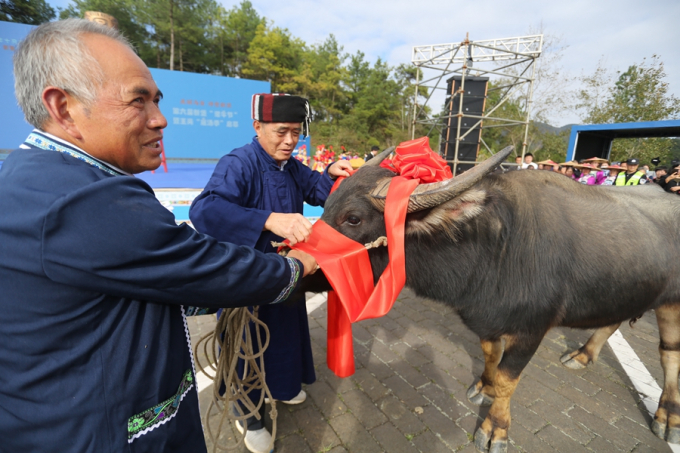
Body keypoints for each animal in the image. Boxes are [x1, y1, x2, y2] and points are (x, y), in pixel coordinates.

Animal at [316, 147, 676, 450]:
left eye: (353, 218)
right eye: (326, 206)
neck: (495, 246)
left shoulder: (532, 329)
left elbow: (507, 379)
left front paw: (495, 429)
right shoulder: (487, 318)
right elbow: (491, 355)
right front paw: (484, 387)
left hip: (672, 303)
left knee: (669, 353)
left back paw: (668, 417)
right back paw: (583, 355)